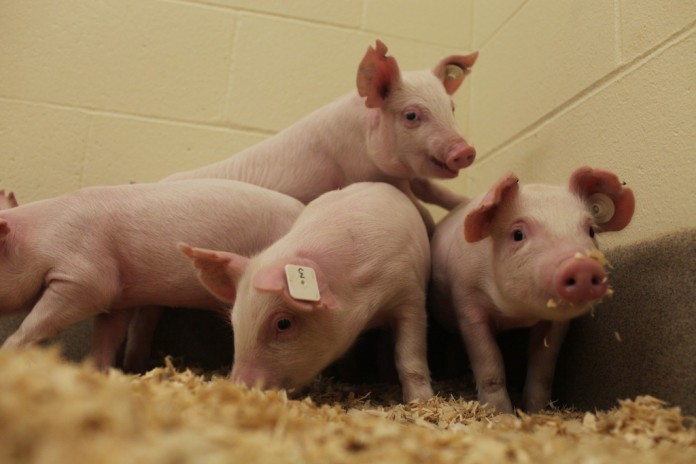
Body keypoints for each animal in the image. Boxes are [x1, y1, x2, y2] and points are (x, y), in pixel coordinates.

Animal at [0, 179, 304, 370]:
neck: (38, 242)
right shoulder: (119, 296)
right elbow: (106, 335)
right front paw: (99, 371)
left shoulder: (87, 277)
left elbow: (36, 321)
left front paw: (7, 355)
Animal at [180, 182, 433, 402]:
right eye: (235, 321)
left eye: (283, 324)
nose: (240, 387)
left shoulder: (410, 296)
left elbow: (409, 358)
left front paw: (420, 401)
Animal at [429, 167, 635, 413]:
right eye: (518, 234)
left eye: (591, 231)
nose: (582, 265)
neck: (516, 316)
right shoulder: (467, 304)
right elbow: (490, 364)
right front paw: (502, 414)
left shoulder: (557, 323)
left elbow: (543, 366)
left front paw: (537, 411)